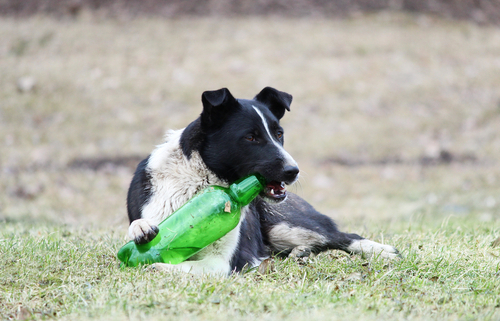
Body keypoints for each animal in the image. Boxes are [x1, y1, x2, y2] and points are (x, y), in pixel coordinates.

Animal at [127, 86, 400, 274]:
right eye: (251, 137)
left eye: (279, 134)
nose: (293, 171)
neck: (201, 180)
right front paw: (141, 231)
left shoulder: (223, 261)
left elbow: (181, 267)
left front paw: (155, 265)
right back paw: (300, 253)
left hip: (284, 225)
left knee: (342, 236)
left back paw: (382, 251)